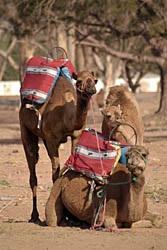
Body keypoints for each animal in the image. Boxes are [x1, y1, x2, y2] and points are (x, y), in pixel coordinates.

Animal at [19, 69, 96, 224]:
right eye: (79, 81)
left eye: (94, 79)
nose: (91, 89)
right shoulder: (51, 139)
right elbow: (55, 173)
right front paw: (62, 215)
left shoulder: (76, 135)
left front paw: (70, 215)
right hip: (25, 128)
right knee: (32, 168)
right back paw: (34, 216)